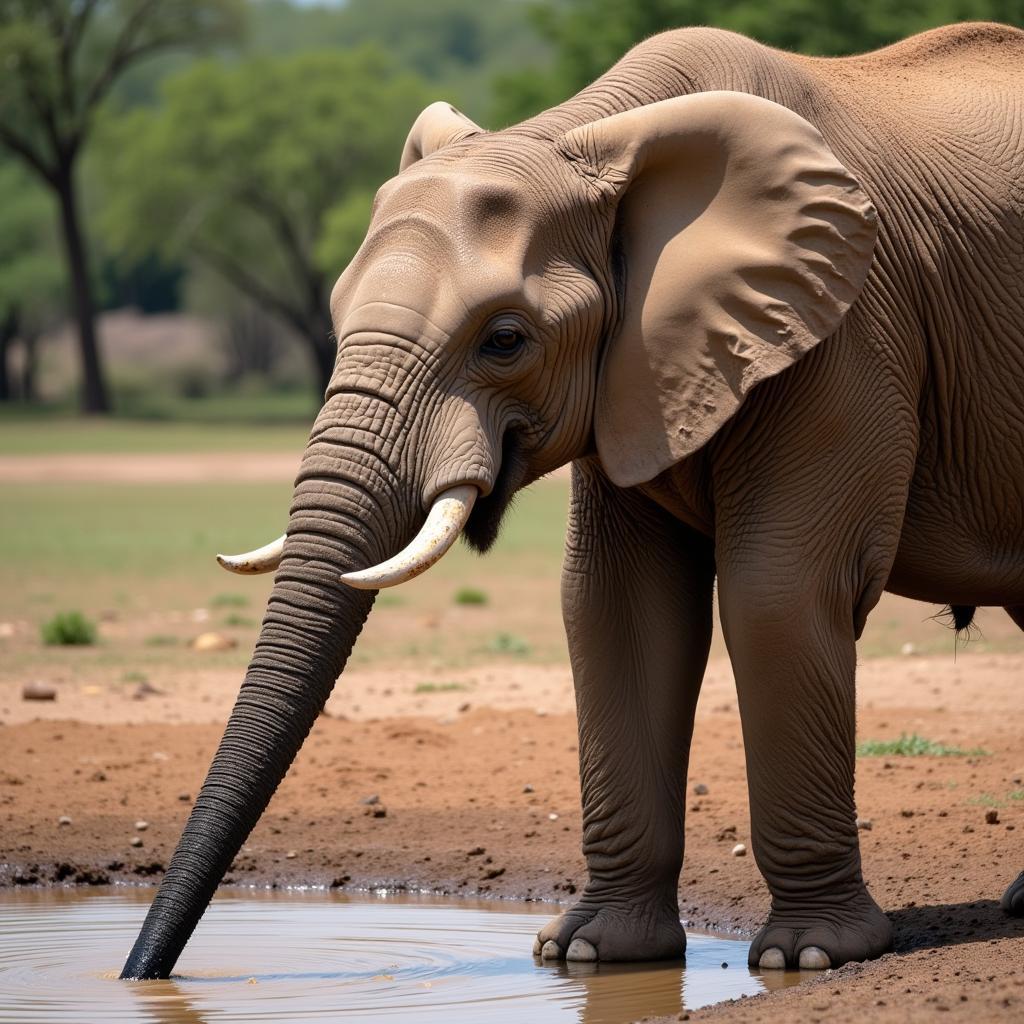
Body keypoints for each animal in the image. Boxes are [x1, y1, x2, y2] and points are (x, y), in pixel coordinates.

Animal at [119, 22, 1024, 983]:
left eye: (505, 340)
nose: (142, 976)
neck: (592, 134)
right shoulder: (637, 373)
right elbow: (615, 610)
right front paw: (588, 956)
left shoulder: (848, 331)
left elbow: (776, 596)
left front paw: (808, 958)